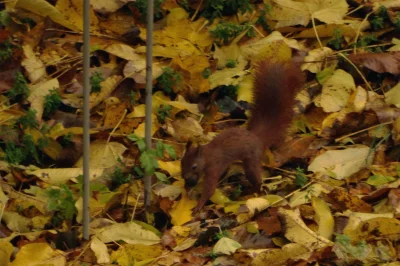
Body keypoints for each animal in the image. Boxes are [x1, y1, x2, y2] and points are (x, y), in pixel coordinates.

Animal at [180, 58, 304, 212]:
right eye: (182, 162)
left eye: (194, 166)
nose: (184, 176)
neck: (206, 156)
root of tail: (257, 138)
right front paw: (187, 188)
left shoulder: (214, 167)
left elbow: (209, 188)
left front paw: (199, 204)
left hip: (252, 159)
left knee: (255, 177)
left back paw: (253, 191)